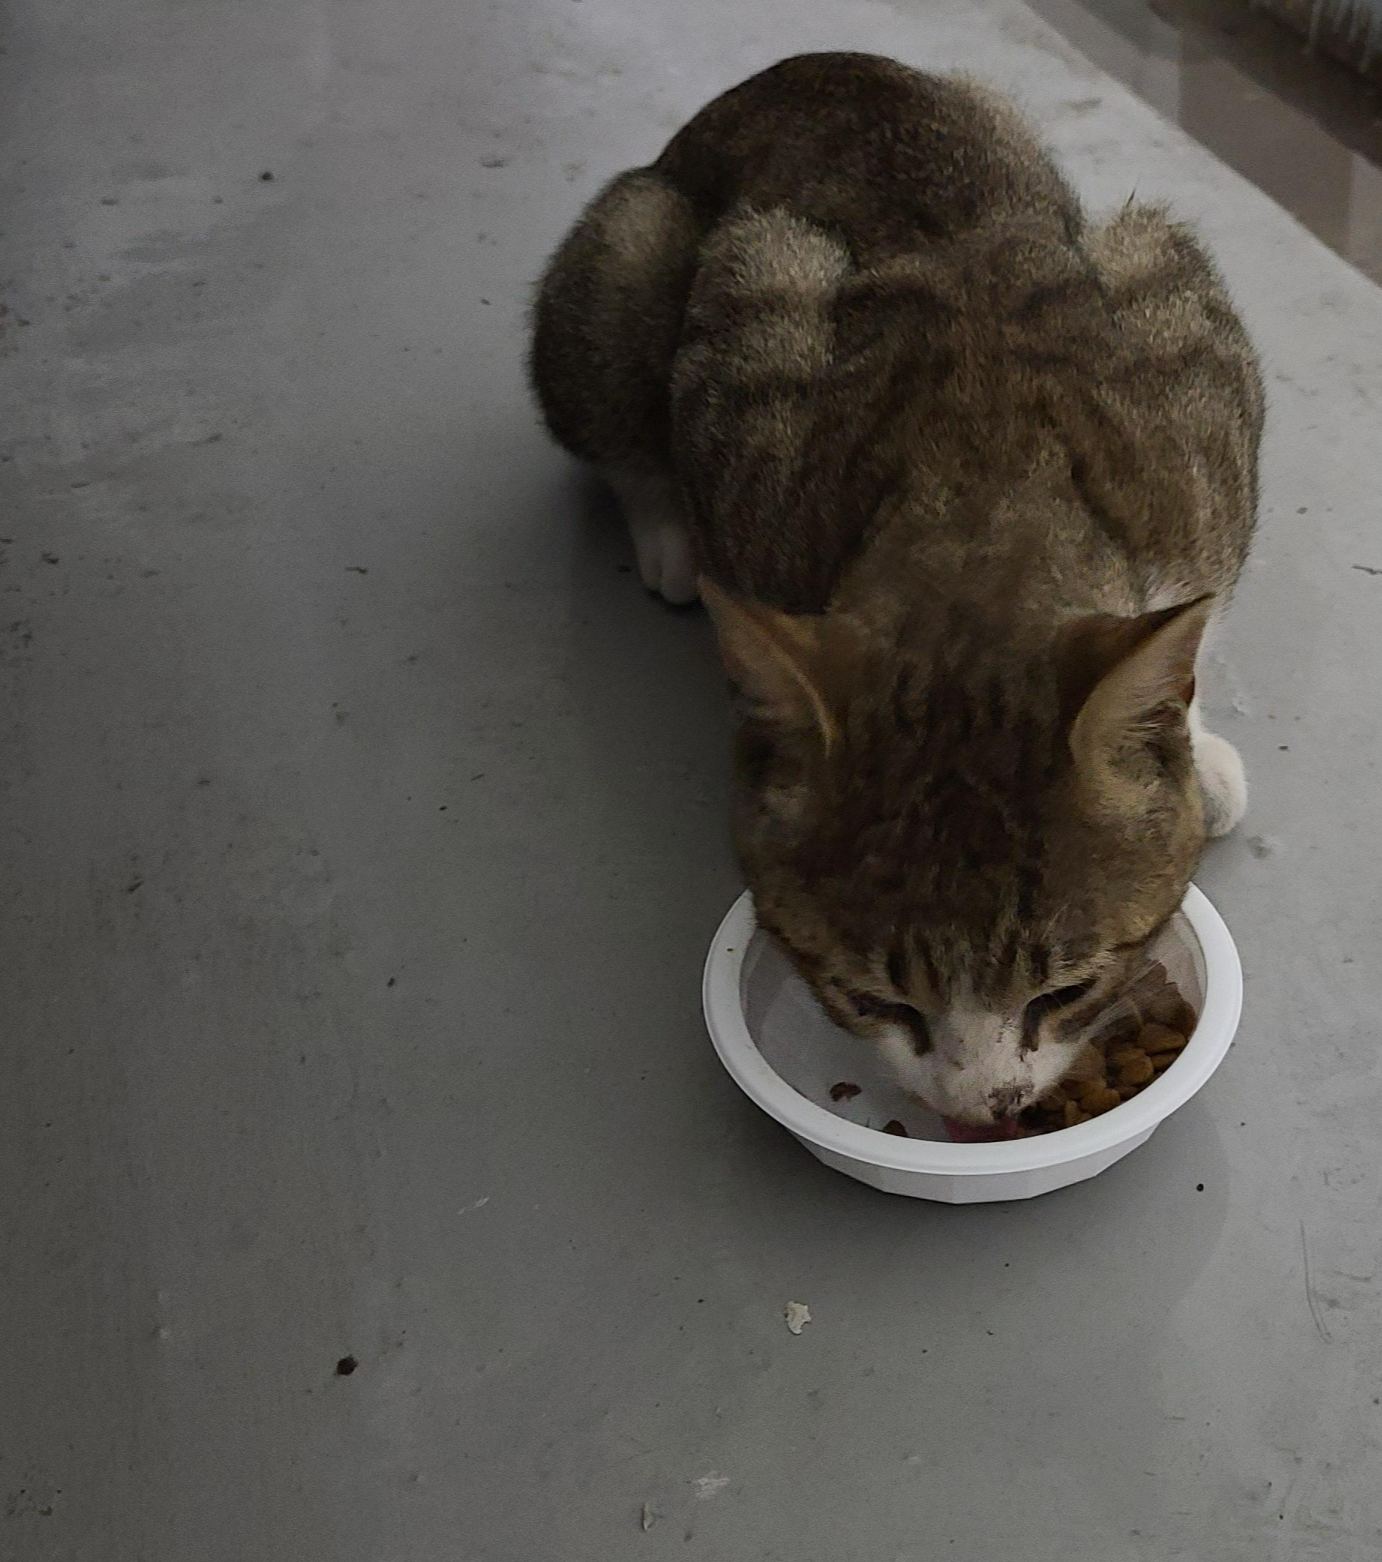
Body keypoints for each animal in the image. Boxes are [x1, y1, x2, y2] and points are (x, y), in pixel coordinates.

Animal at [524, 48, 1261, 1124]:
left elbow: (1198, 597)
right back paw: (663, 533)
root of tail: (797, 68)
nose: (984, 1106)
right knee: (614, 408)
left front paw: (1188, 742)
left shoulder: (1189, 359)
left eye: (1064, 992)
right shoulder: (746, 327)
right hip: (624, 253)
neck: (980, 486)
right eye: (877, 1001)